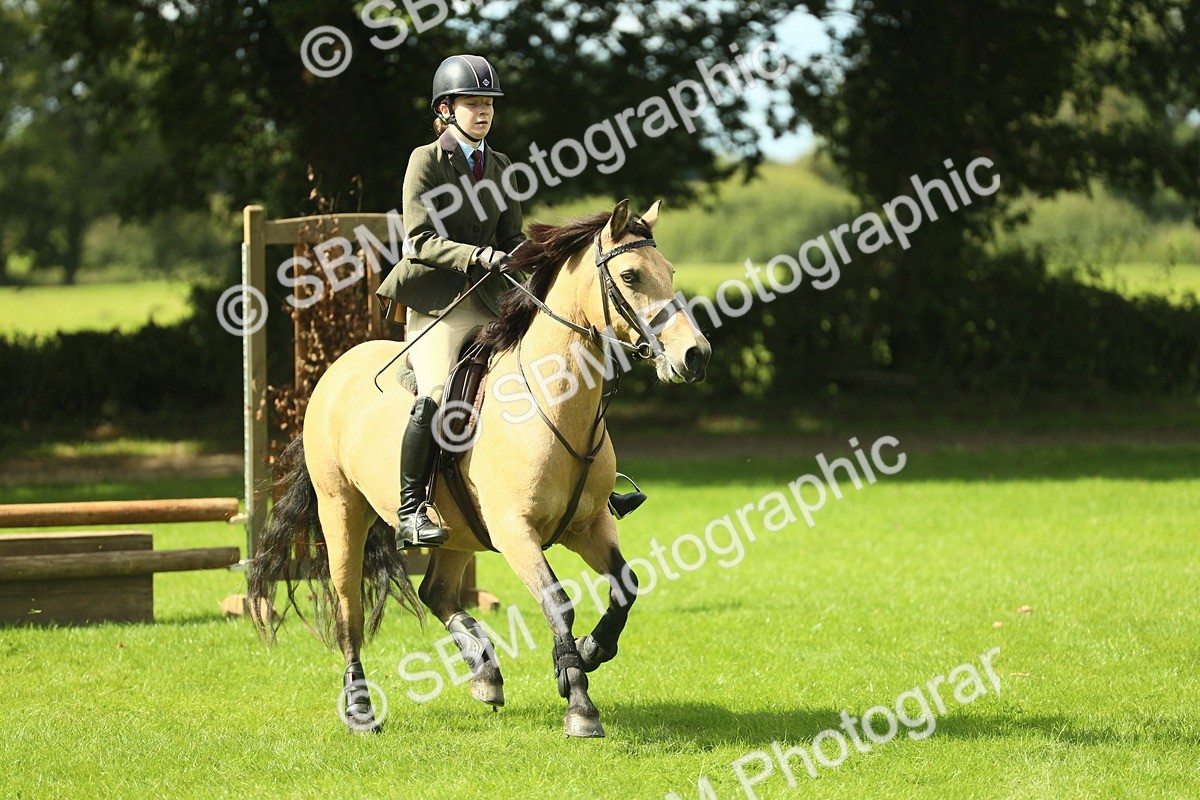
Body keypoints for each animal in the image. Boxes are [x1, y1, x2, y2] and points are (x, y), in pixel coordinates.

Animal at [248, 199, 711, 737]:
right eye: (631, 275)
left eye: (670, 272)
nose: (695, 355)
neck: (552, 400)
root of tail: (334, 372)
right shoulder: (515, 532)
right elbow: (558, 602)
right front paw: (579, 703)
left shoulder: (588, 525)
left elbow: (626, 586)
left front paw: (591, 652)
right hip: (341, 510)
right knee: (349, 610)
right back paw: (361, 707)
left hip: (457, 529)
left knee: (436, 592)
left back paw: (484, 669)